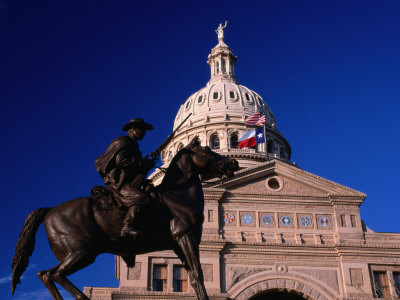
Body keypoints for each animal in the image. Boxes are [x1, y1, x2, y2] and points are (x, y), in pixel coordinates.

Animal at [10, 137, 239, 300]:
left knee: (46, 274)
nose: (233, 162)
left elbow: (192, 275)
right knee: (53, 274)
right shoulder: (185, 236)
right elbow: (198, 274)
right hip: (82, 251)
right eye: (207, 150)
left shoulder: (178, 244)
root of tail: (50, 210)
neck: (178, 195)